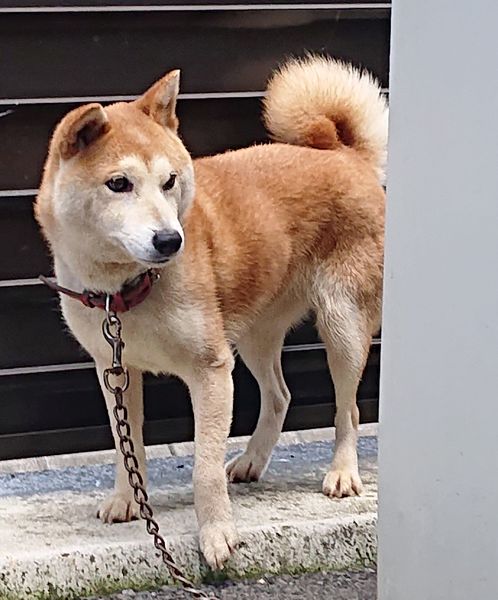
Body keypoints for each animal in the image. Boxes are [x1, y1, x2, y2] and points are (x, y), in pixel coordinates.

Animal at [35, 56, 387, 569]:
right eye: (119, 184)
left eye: (170, 181)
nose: (170, 240)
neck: (127, 290)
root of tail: (346, 154)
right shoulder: (115, 368)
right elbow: (126, 445)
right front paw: (126, 499)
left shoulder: (211, 370)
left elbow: (203, 468)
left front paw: (217, 534)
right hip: (254, 335)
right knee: (279, 396)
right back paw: (252, 461)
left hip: (342, 324)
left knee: (349, 409)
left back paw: (342, 472)